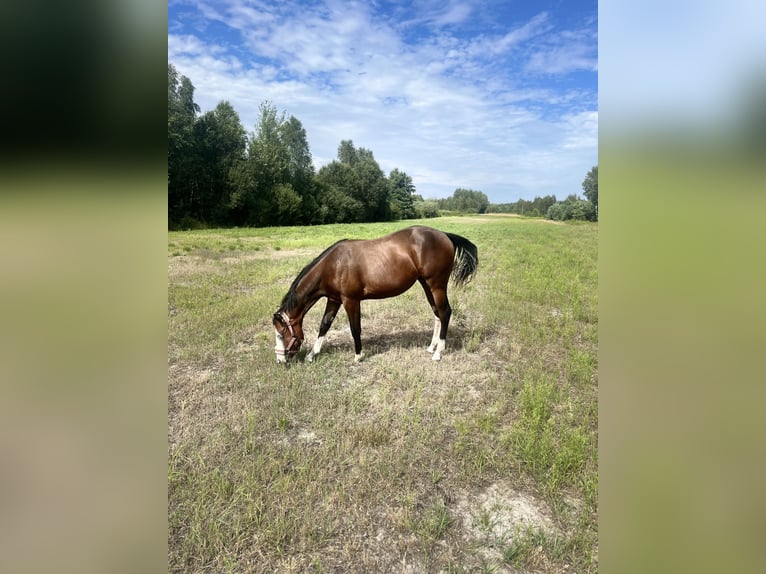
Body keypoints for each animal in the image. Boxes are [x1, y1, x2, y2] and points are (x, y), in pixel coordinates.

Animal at [272, 225, 478, 363]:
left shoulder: (351, 300)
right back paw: (431, 347)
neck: (333, 265)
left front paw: (358, 356)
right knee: (437, 313)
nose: (280, 361)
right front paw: (312, 354)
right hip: (427, 285)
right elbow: (324, 325)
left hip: (437, 285)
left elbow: (355, 328)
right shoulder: (334, 299)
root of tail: (445, 235)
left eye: (281, 334)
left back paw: (438, 353)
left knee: (445, 312)